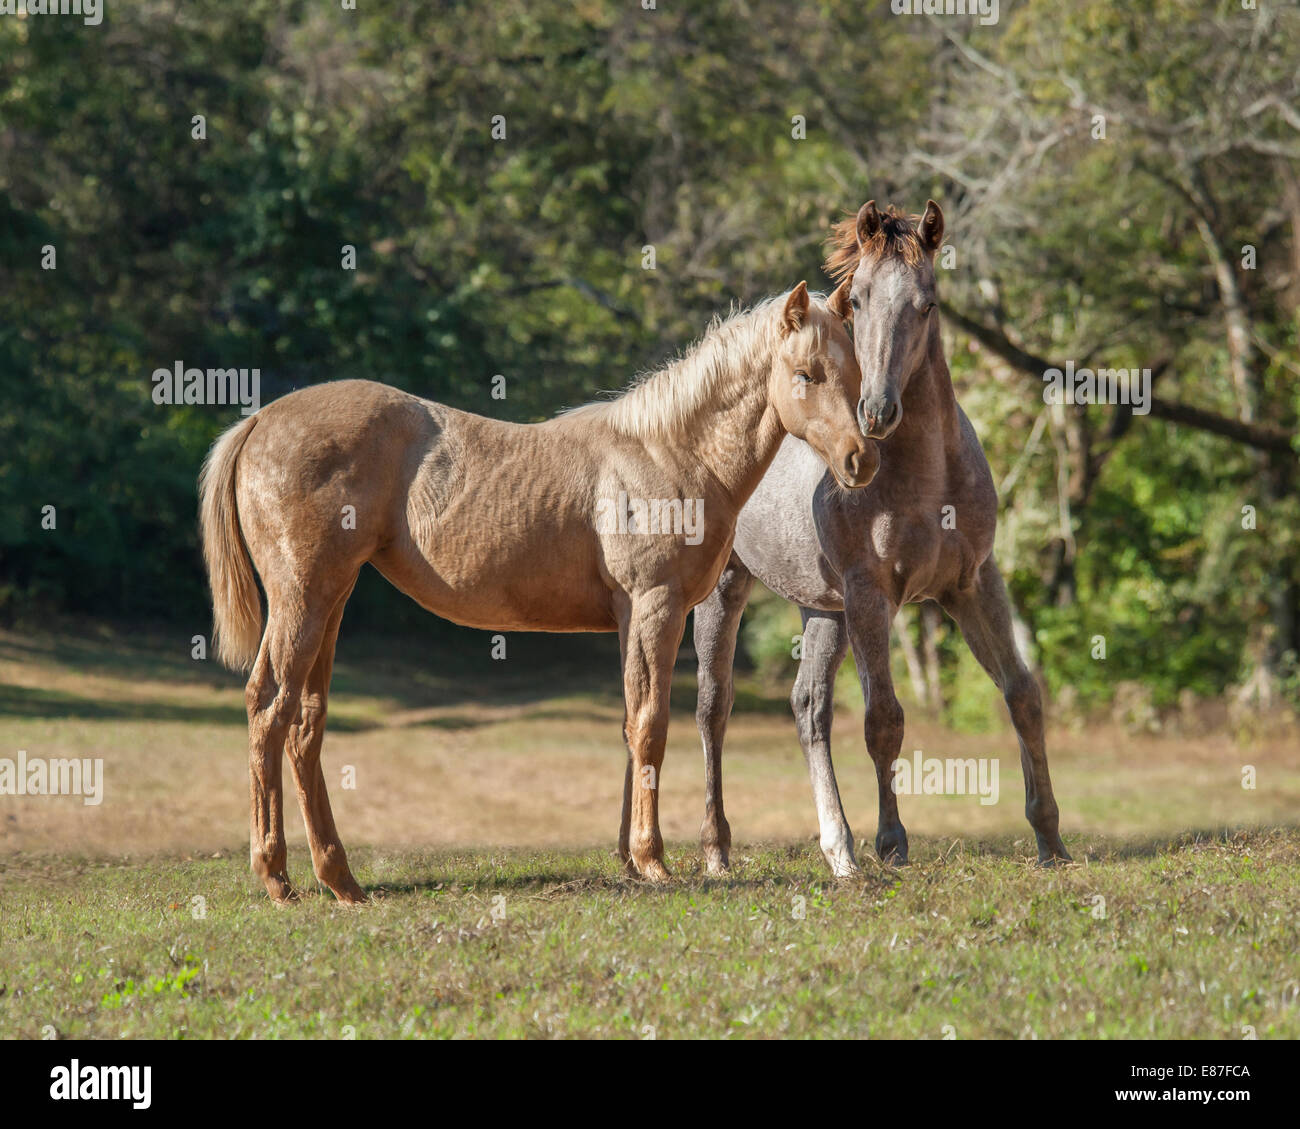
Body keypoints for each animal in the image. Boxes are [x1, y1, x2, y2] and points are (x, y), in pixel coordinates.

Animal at [200, 286, 873, 905]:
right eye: (806, 374)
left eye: (855, 369)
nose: (859, 460)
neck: (667, 452)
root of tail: (259, 421)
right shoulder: (656, 608)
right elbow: (651, 724)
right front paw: (652, 861)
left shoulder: (631, 618)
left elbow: (630, 722)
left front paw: (629, 861)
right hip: (303, 601)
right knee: (270, 710)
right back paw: (277, 876)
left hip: (330, 602)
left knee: (305, 724)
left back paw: (340, 879)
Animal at [696, 200, 1071, 874]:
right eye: (859, 300)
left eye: (927, 302)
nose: (875, 413)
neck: (927, 478)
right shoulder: (872, 594)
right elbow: (884, 720)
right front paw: (893, 843)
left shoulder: (973, 583)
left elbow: (1023, 693)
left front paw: (1050, 838)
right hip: (729, 591)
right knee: (714, 707)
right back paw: (718, 850)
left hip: (823, 610)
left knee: (808, 706)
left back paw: (838, 848)